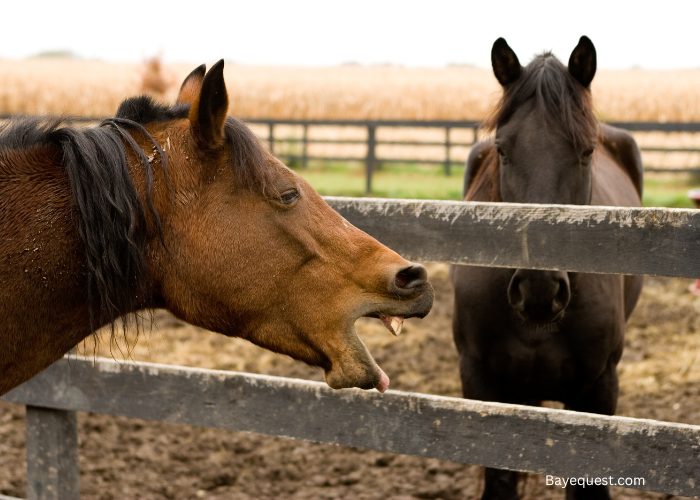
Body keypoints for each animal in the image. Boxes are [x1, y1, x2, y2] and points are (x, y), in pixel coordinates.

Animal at [452, 37, 644, 498]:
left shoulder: (598, 389)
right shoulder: (481, 380)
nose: (538, 291)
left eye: (587, 151)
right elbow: (500, 482)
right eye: (502, 150)